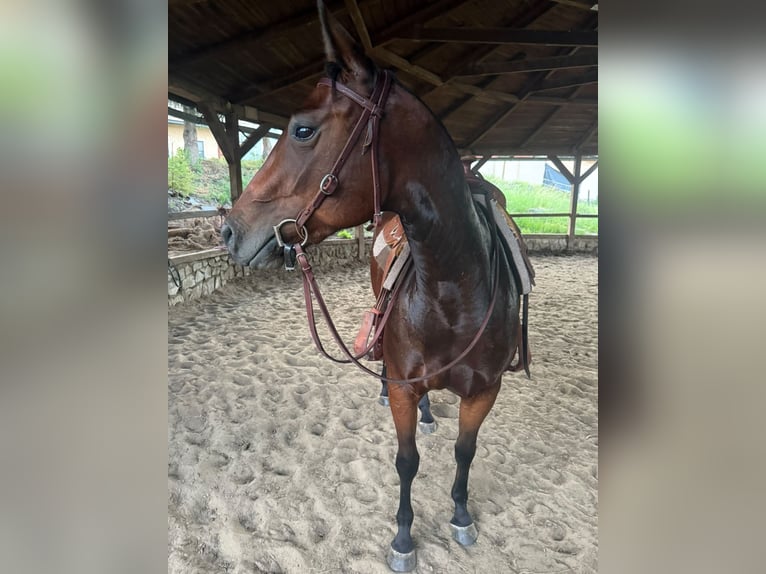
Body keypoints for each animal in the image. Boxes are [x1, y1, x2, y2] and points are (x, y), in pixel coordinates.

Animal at [221, 3, 528, 571]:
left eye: (302, 130)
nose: (229, 231)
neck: (453, 291)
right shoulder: (407, 386)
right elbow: (406, 461)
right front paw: (404, 538)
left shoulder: (485, 392)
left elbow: (465, 451)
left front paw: (461, 515)